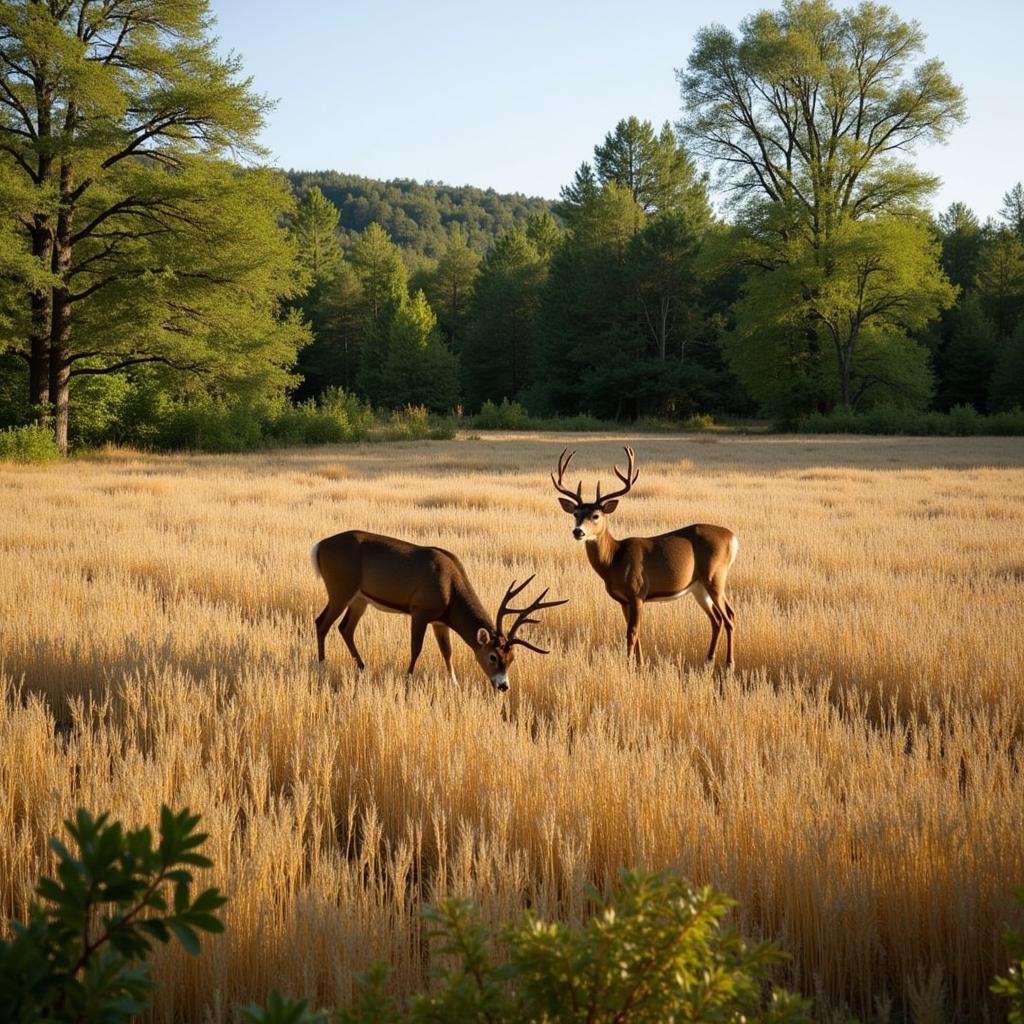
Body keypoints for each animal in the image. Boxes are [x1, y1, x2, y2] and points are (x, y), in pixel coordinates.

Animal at [311, 532, 569, 692]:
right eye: (493, 656)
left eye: (512, 658)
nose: (503, 686)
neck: (450, 587)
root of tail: (320, 545)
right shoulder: (420, 611)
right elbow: (416, 648)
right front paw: (408, 680)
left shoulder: (440, 621)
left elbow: (447, 652)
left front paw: (454, 685)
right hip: (340, 589)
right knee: (321, 622)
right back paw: (322, 668)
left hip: (359, 599)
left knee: (345, 628)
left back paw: (362, 668)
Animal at [552, 448, 737, 671]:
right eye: (575, 514)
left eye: (596, 515)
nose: (578, 531)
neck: (615, 559)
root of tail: (733, 538)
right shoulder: (624, 600)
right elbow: (636, 634)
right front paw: (640, 666)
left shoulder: (637, 592)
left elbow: (631, 634)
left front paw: (628, 667)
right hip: (698, 586)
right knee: (716, 619)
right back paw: (708, 661)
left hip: (715, 576)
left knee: (729, 616)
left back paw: (729, 664)